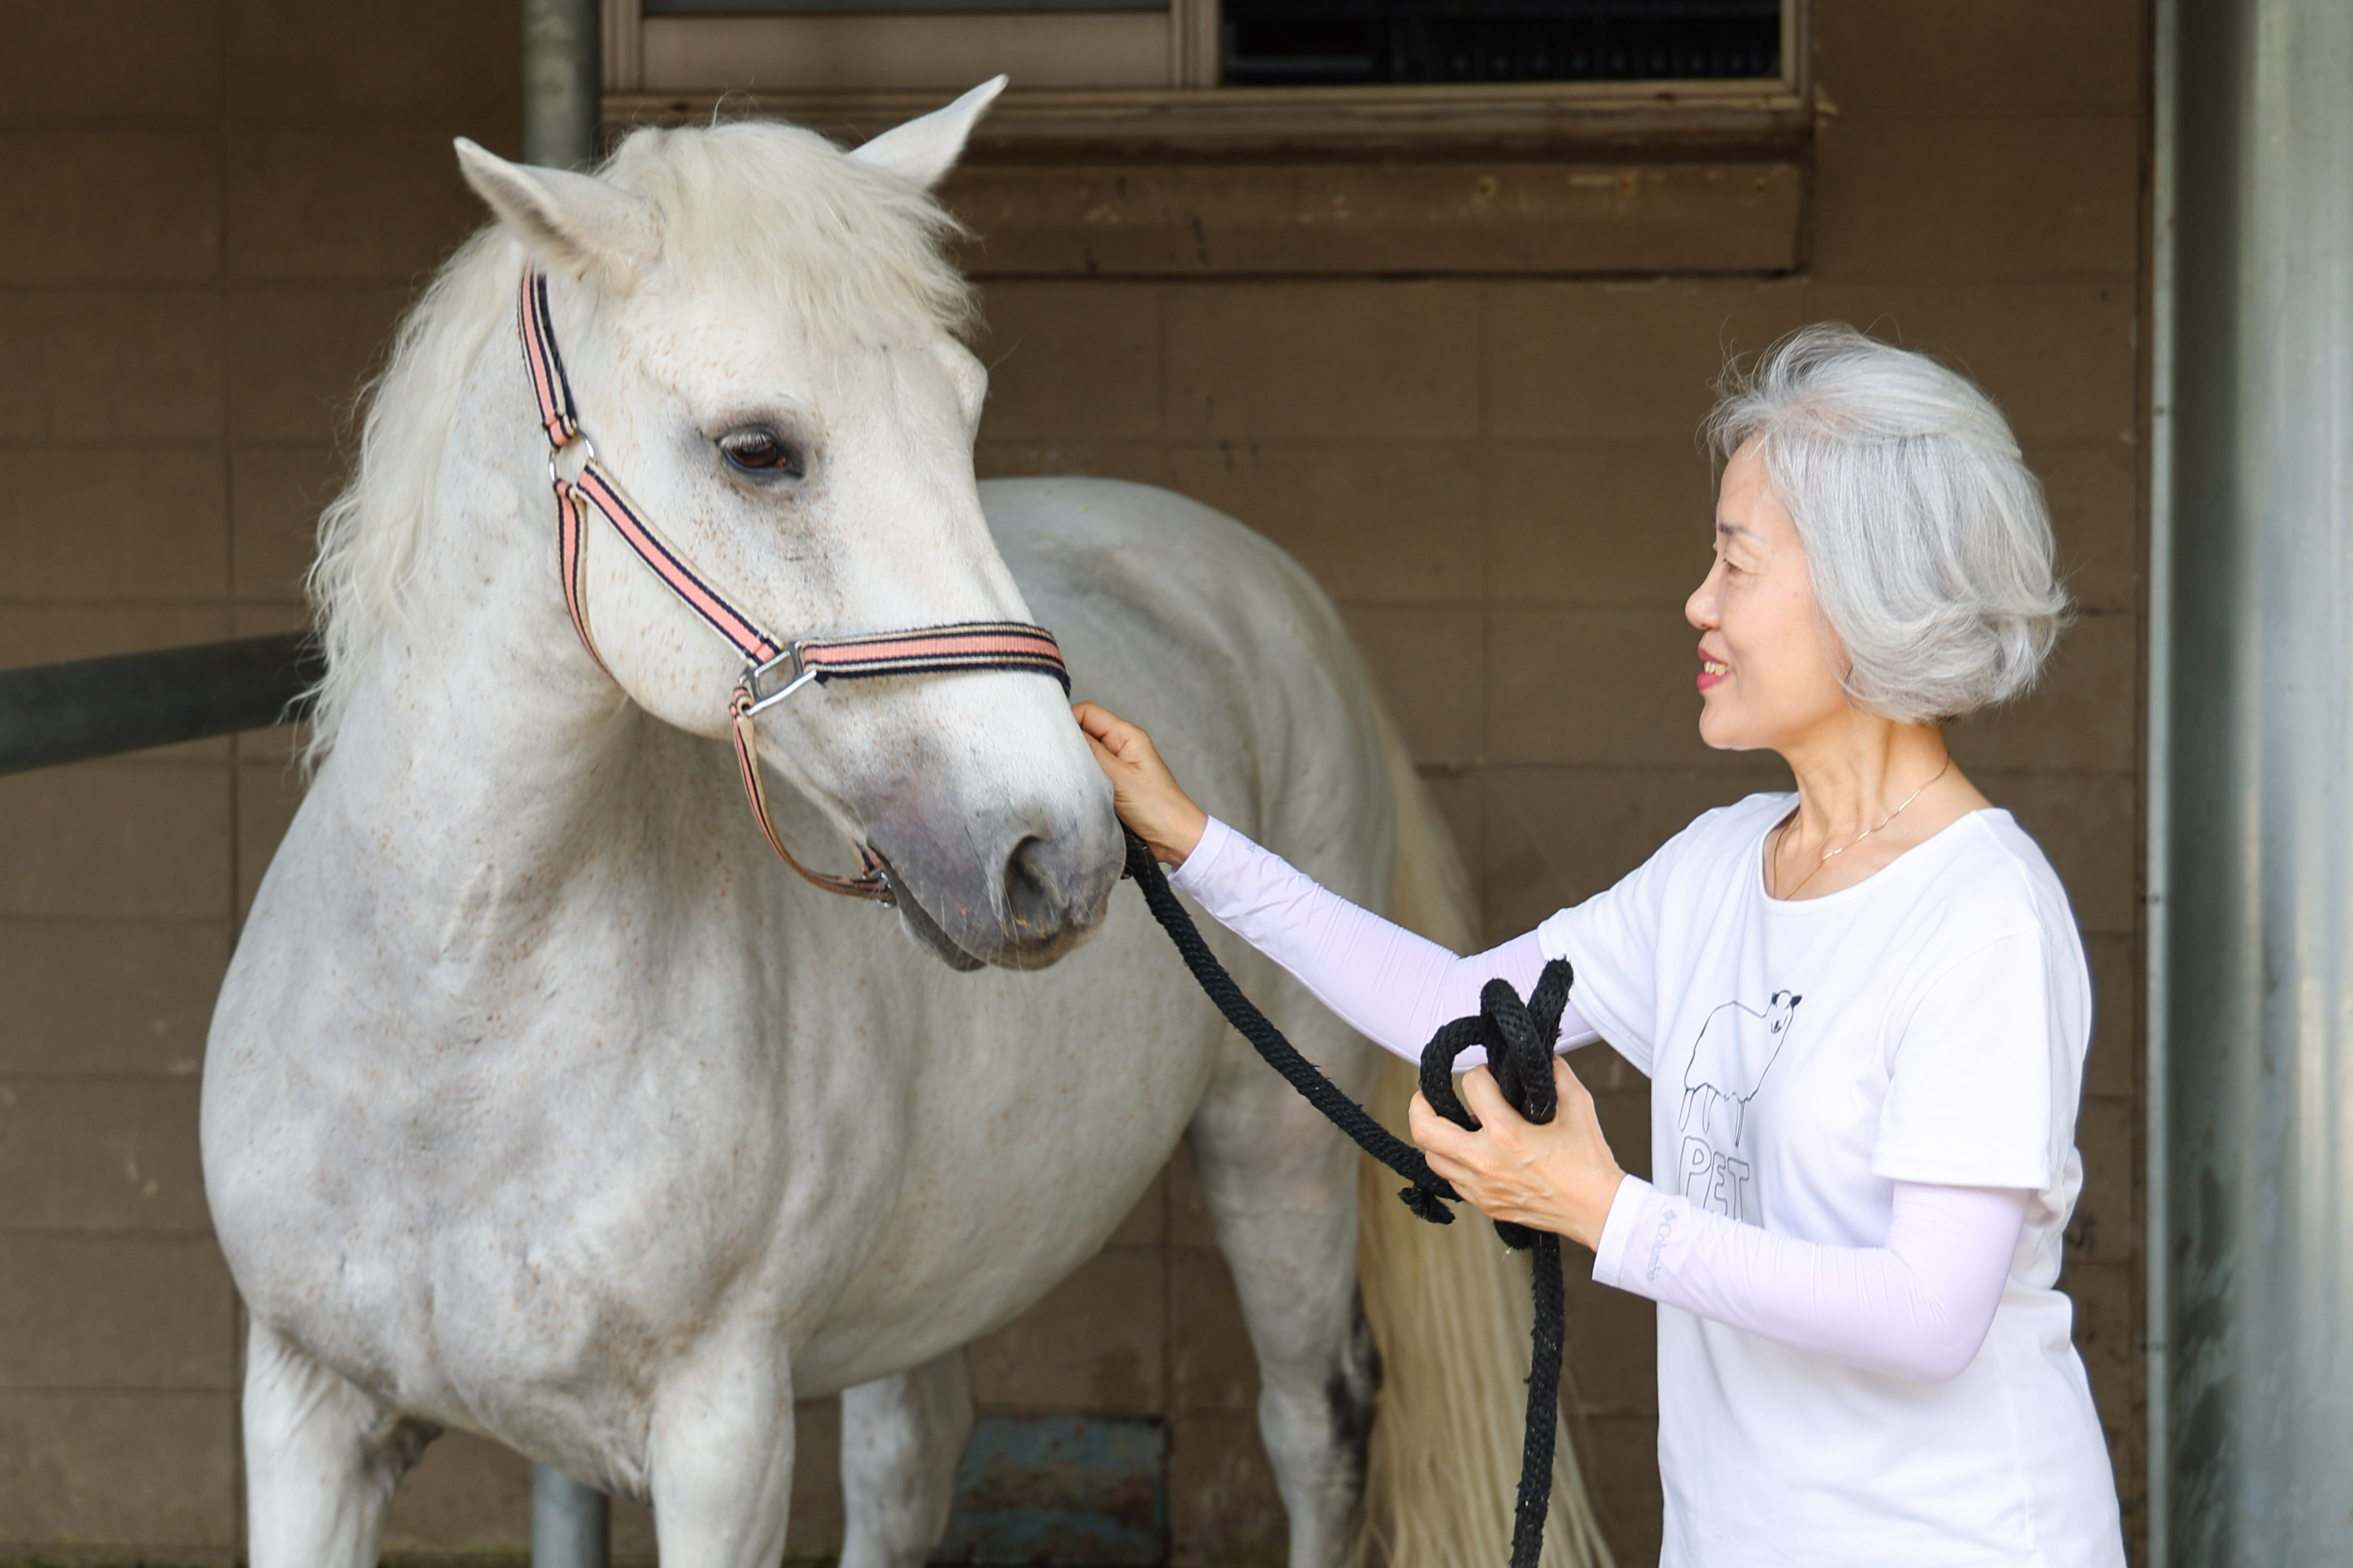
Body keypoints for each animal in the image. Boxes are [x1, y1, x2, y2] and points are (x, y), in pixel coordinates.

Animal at [202, 80, 1609, 1568]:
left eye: (963, 410)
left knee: (1311, 1422)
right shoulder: (303, 1416)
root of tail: (1271, 586)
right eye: (756, 449)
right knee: (910, 1453)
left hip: (1273, 1148)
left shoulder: (720, 1442)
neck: (451, 1020)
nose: (1062, 852)